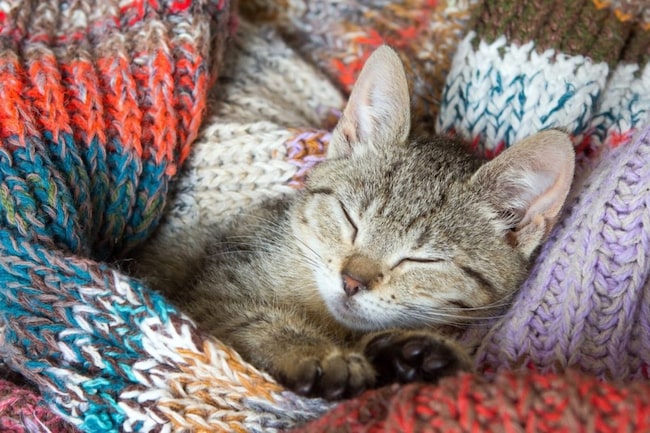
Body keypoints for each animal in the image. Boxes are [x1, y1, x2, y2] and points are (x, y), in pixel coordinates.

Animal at [132, 45, 572, 400]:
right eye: (350, 219)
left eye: (422, 260)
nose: (352, 281)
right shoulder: (209, 291)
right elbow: (253, 317)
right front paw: (316, 352)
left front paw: (418, 353)